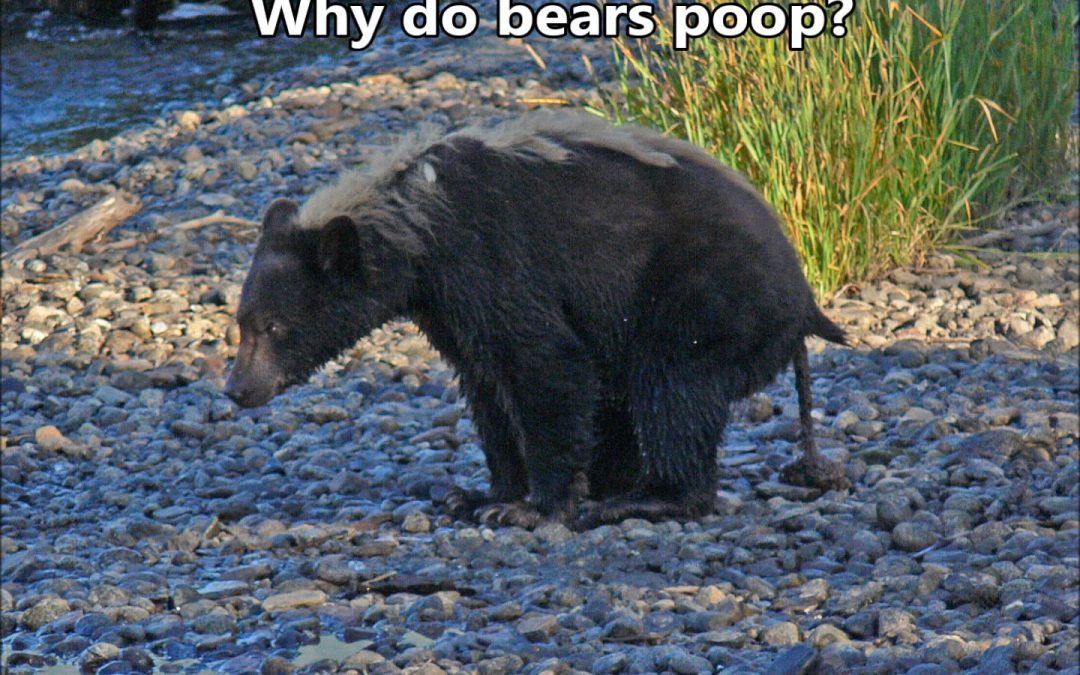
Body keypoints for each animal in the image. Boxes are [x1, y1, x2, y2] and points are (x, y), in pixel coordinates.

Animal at [225, 111, 848, 528]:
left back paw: (648, 497)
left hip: (701, 293)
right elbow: (485, 383)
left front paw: (532, 506)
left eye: (274, 326)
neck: (421, 227)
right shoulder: (450, 306)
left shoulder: (492, 256)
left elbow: (542, 361)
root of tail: (804, 298)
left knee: (673, 384)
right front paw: (483, 494)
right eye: (241, 323)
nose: (237, 389)